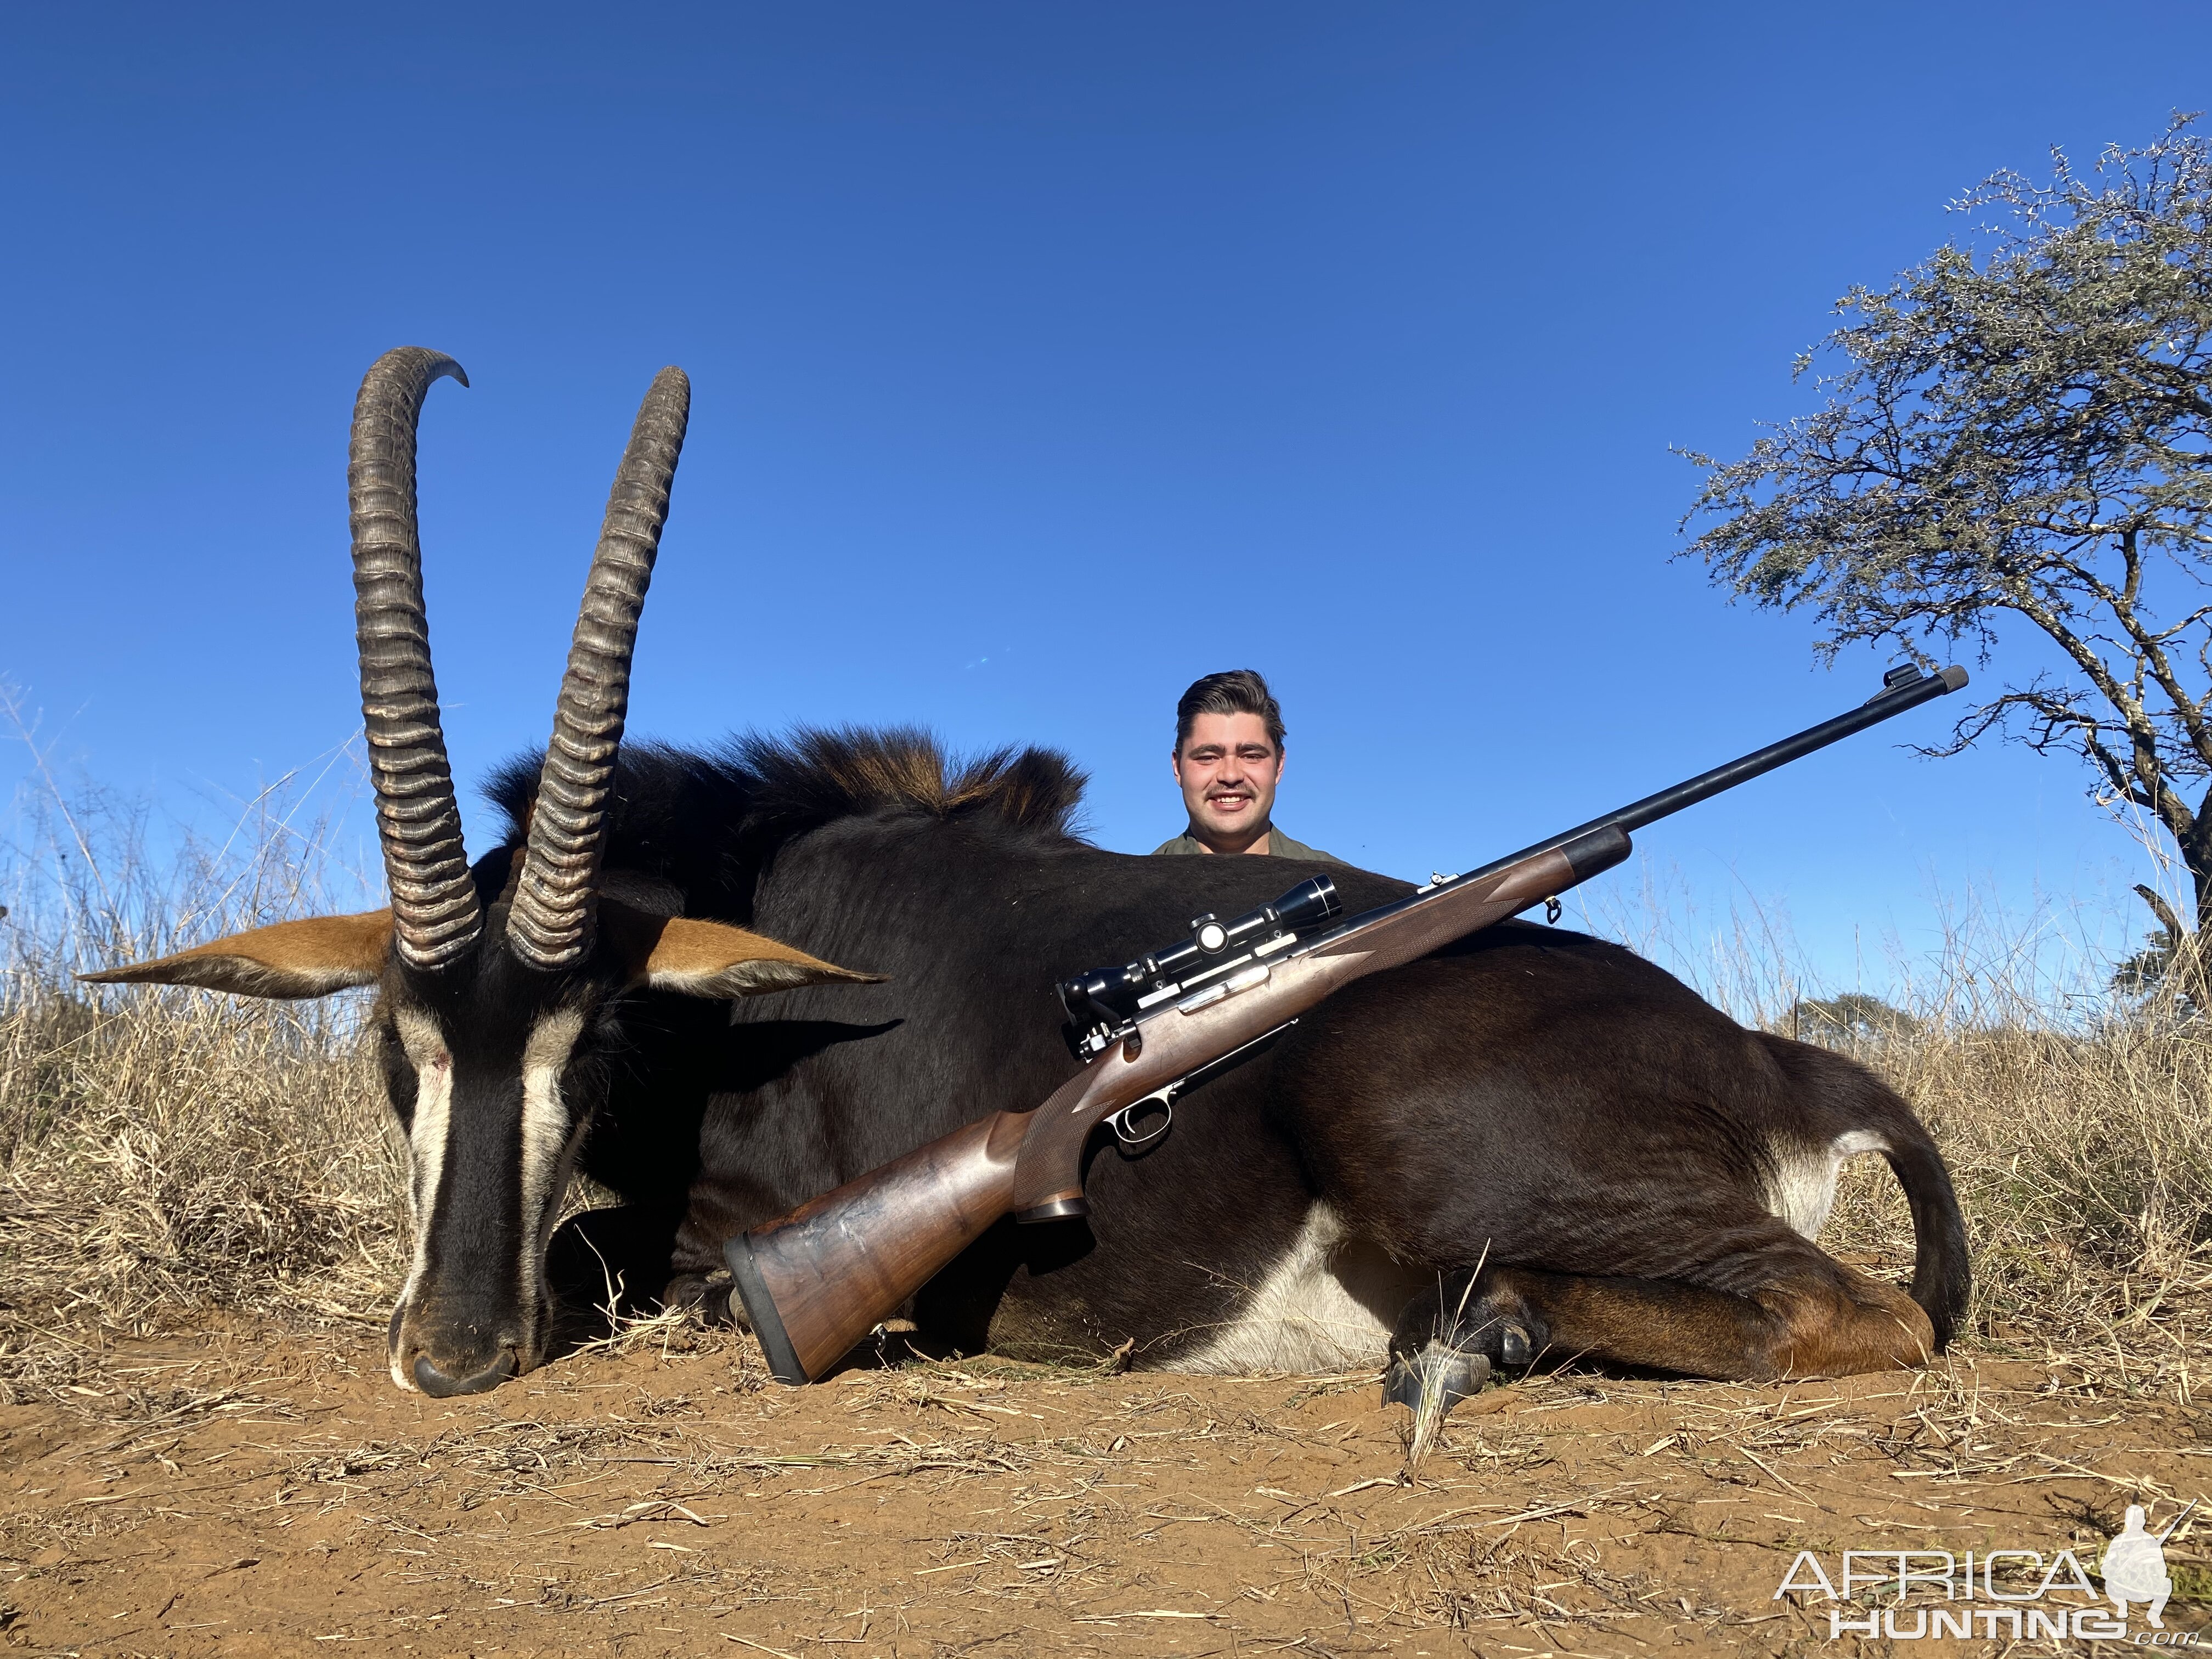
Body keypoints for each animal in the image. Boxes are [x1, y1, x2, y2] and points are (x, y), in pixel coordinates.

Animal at [82, 352, 1973, 1415]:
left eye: (595, 1043)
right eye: (394, 1046)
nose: (456, 1352)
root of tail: (1781, 1057)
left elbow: (624, 1254)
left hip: (1407, 1115)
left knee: (1861, 1313)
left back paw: (1477, 1336)